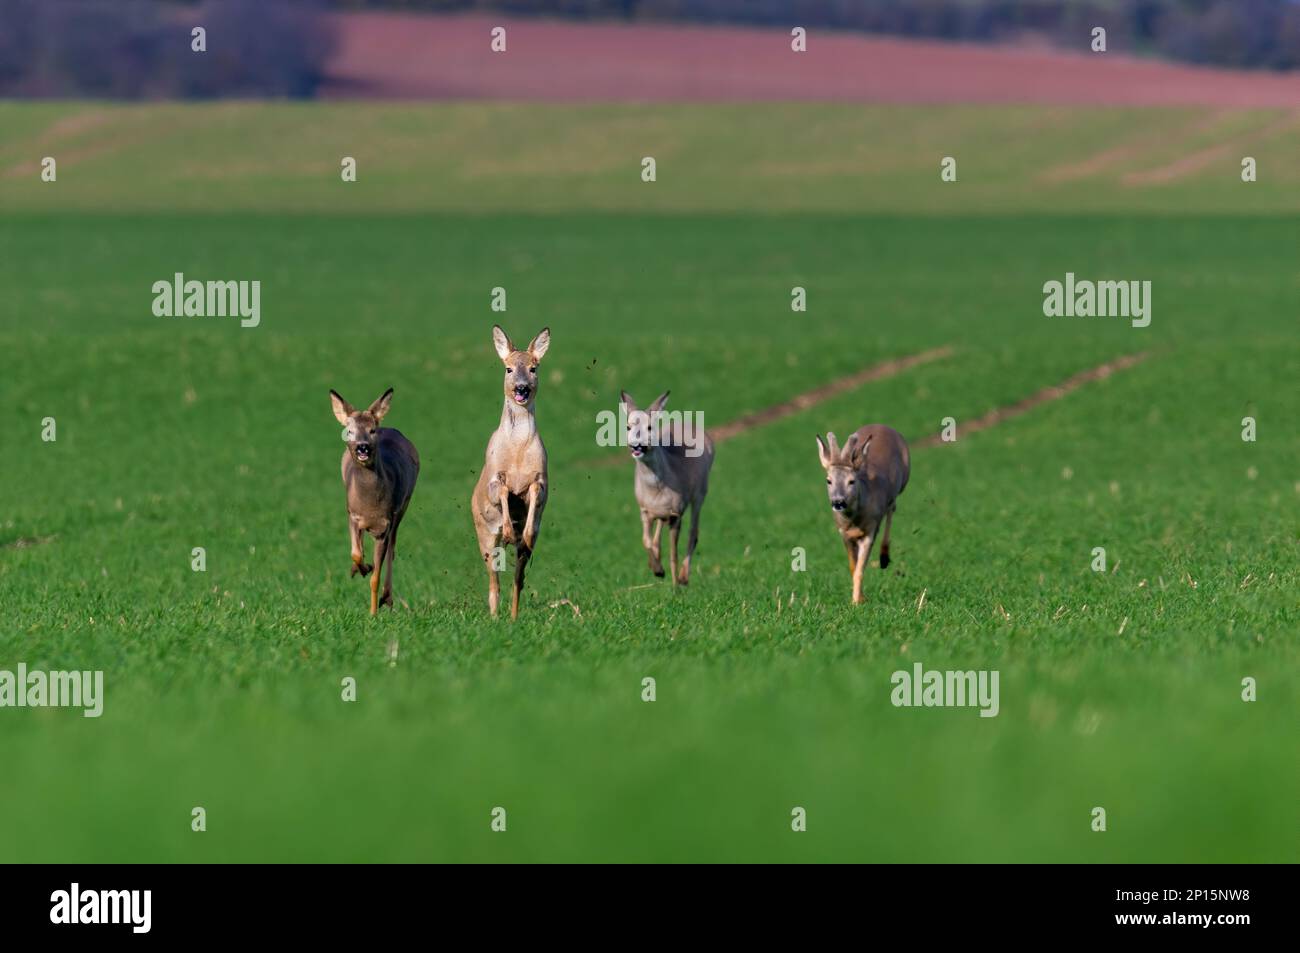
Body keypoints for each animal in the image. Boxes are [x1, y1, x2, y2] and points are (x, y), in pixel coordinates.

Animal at [329, 387, 420, 616]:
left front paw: (373, 614)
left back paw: (387, 598)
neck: (370, 504)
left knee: (392, 549)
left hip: (403, 507)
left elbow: (375, 578)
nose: (362, 447)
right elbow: (355, 553)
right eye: (349, 431)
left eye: (372, 430)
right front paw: (363, 568)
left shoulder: (385, 524)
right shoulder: (352, 515)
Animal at [470, 326, 550, 619]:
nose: (521, 388)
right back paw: (494, 617)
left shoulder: (542, 478)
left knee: (518, 580)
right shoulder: (494, 476)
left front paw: (522, 532)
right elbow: (503, 489)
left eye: (534, 367)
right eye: (508, 368)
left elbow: (535, 490)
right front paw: (507, 529)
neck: (517, 450)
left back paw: (514, 618)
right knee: (493, 582)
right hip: (483, 537)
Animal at [620, 390, 714, 585]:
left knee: (693, 532)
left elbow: (673, 554)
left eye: (650, 427)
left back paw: (684, 577)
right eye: (627, 427)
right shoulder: (644, 510)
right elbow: (646, 541)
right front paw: (657, 570)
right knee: (657, 535)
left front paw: (675, 586)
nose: (636, 446)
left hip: (701, 493)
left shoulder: (676, 514)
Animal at [815, 425, 910, 605]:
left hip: (902, 483)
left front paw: (856, 602)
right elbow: (854, 567)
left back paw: (884, 558)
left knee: (892, 508)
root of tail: (882, 425)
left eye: (851, 481)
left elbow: (860, 569)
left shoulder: (870, 530)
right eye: (828, 480)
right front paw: (861, 597)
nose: (838, 502)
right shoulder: (844, 534)